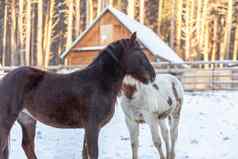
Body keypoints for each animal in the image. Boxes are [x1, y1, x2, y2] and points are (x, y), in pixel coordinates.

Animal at [0, 33, 156, 158]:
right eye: (139, 53)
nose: (153, 75)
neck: (100, 82)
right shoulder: (92, 127)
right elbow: (92, 153)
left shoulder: (89, 128)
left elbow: (84, 154)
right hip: (7, 121)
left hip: (28, 120)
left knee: (27, 146)